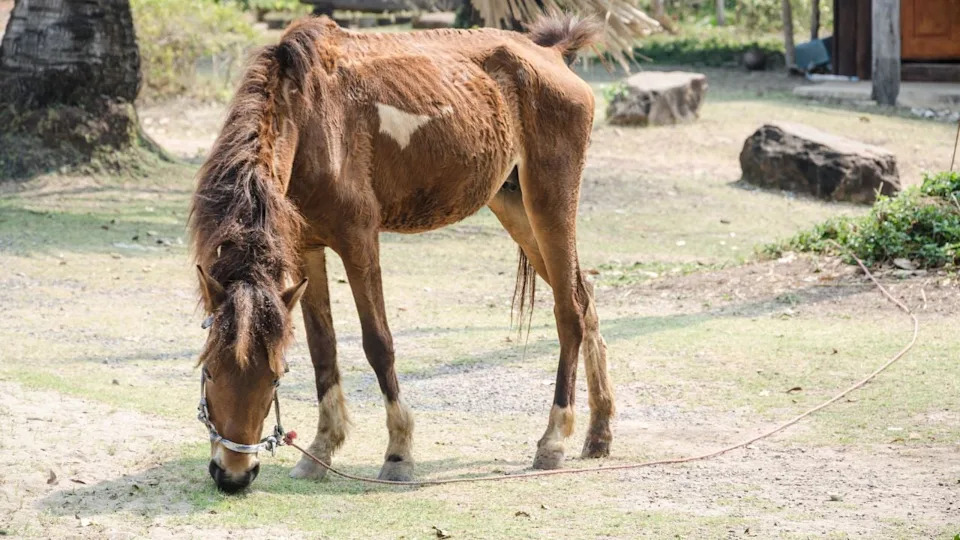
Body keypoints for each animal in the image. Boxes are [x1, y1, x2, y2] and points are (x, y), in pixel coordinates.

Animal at [189, 14, 615, 493]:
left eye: (275, 376)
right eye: (208, 370)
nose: (232, 474)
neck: (308, 118)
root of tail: (552, 55)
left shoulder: (358, 239)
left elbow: (378, 343)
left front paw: (398, 453)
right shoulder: (306, 248)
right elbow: (323, 348)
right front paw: (321, 450)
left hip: (550, 204)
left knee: (569, 313)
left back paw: (553, 440)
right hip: (515, 208)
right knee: (585, 298)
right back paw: (599, 432)